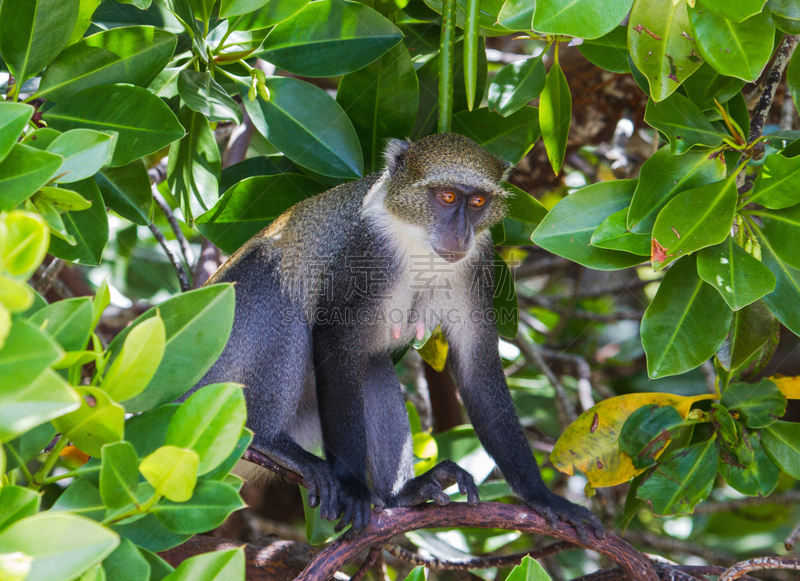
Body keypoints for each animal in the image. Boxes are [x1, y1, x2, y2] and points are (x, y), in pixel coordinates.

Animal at [194, 133, 604, 540]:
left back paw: (400, 494)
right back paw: (269, 440)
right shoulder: (368, 251)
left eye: (477, 202)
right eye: (447, 197)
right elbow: (334, 339)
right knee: (280, 297)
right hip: (217, 369)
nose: (461, 233)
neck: (417, 238)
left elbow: (478, 367)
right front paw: (353, 487)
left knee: (371, 365)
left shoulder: (477, 262)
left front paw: (543, 498)